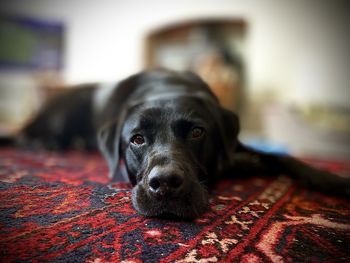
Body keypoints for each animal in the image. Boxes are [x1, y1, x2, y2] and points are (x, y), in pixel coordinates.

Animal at [20, 69, 350, 219]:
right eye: (137, 139)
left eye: (196, 132)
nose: (165, 183)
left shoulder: (234, 148)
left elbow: (281, 157)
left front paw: (331, 179)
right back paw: (44, 144)